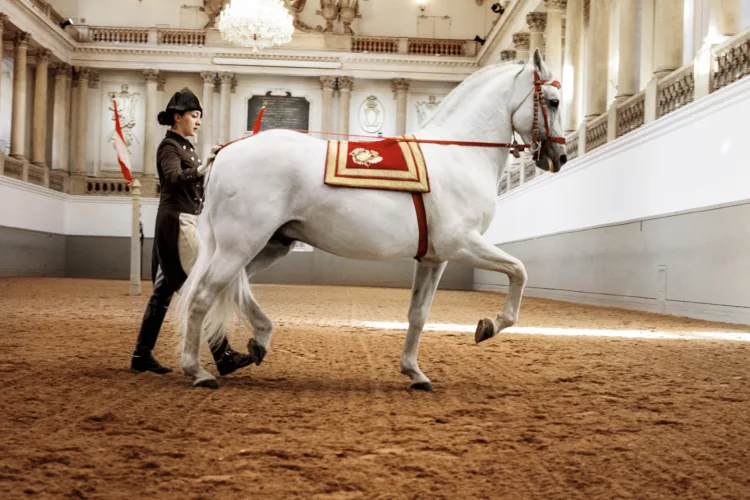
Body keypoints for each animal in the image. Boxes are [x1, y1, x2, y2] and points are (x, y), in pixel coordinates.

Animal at [175, 48, 564, 388]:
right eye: (554, 101)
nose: (558, 157)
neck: (457, 153)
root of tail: (226, 151)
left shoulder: (434, 258)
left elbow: (418, 314)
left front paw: (414, 372)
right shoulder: (461, 244)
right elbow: (518, 271)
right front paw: (489, 326)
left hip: (269, 245)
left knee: (234, 286)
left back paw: (258, 341)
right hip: (241, 244)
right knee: (203, 296)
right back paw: (198, 371)